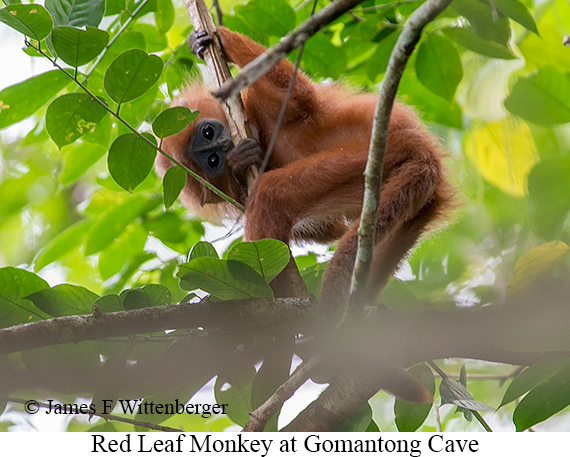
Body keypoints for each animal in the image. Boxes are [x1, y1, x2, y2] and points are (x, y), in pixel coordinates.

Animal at [154, 27, 452, 328]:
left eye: (207, 133)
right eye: (212, 161)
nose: (224, 144)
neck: (262, 134)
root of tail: (423, 155)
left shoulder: (262, 106)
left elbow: (298, 93)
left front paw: (214, 40)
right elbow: (329, 229)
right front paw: (238, 164)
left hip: (366, 156)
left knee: (269, 193)